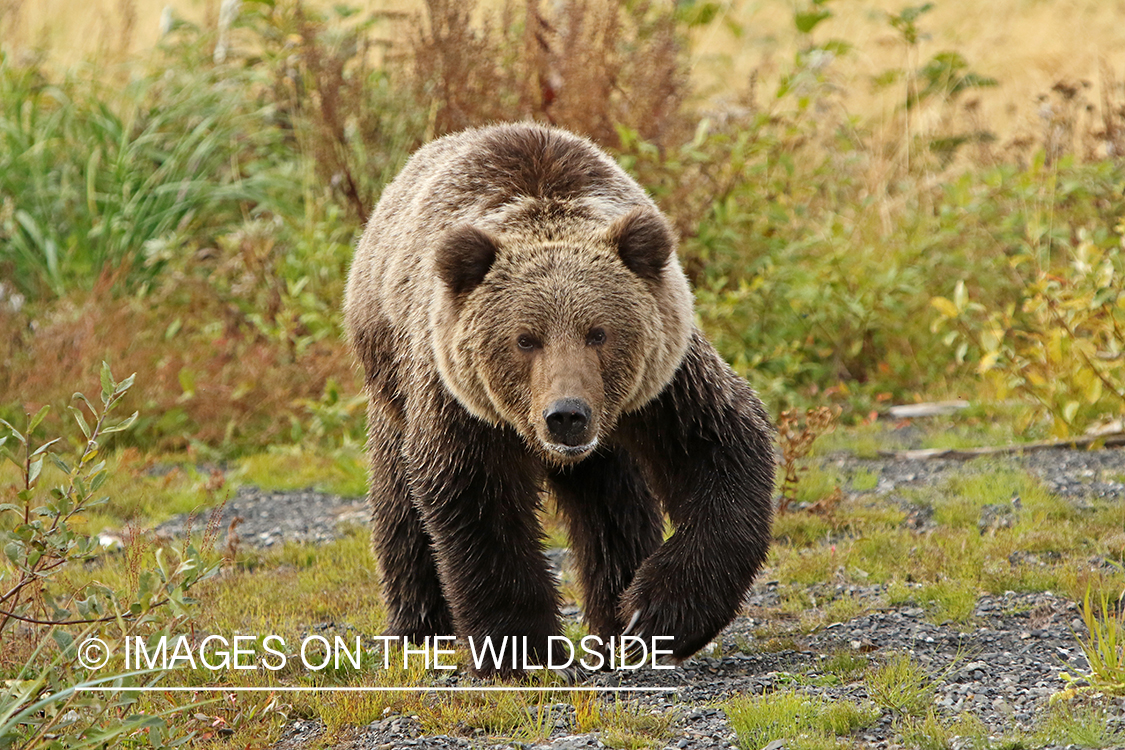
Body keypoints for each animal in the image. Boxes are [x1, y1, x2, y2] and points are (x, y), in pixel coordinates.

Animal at [343, 122, 775, 678]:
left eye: (598, 333)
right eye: (526, 338)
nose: (566, 415)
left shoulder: (665, 385)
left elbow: (721, 450)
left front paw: (652, 613)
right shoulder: (459, 403)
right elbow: (476, 502)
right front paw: (523, 648)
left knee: (614, 502)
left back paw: (614, 622)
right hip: (391, 376)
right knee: (399, 500)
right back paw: (418, 628)